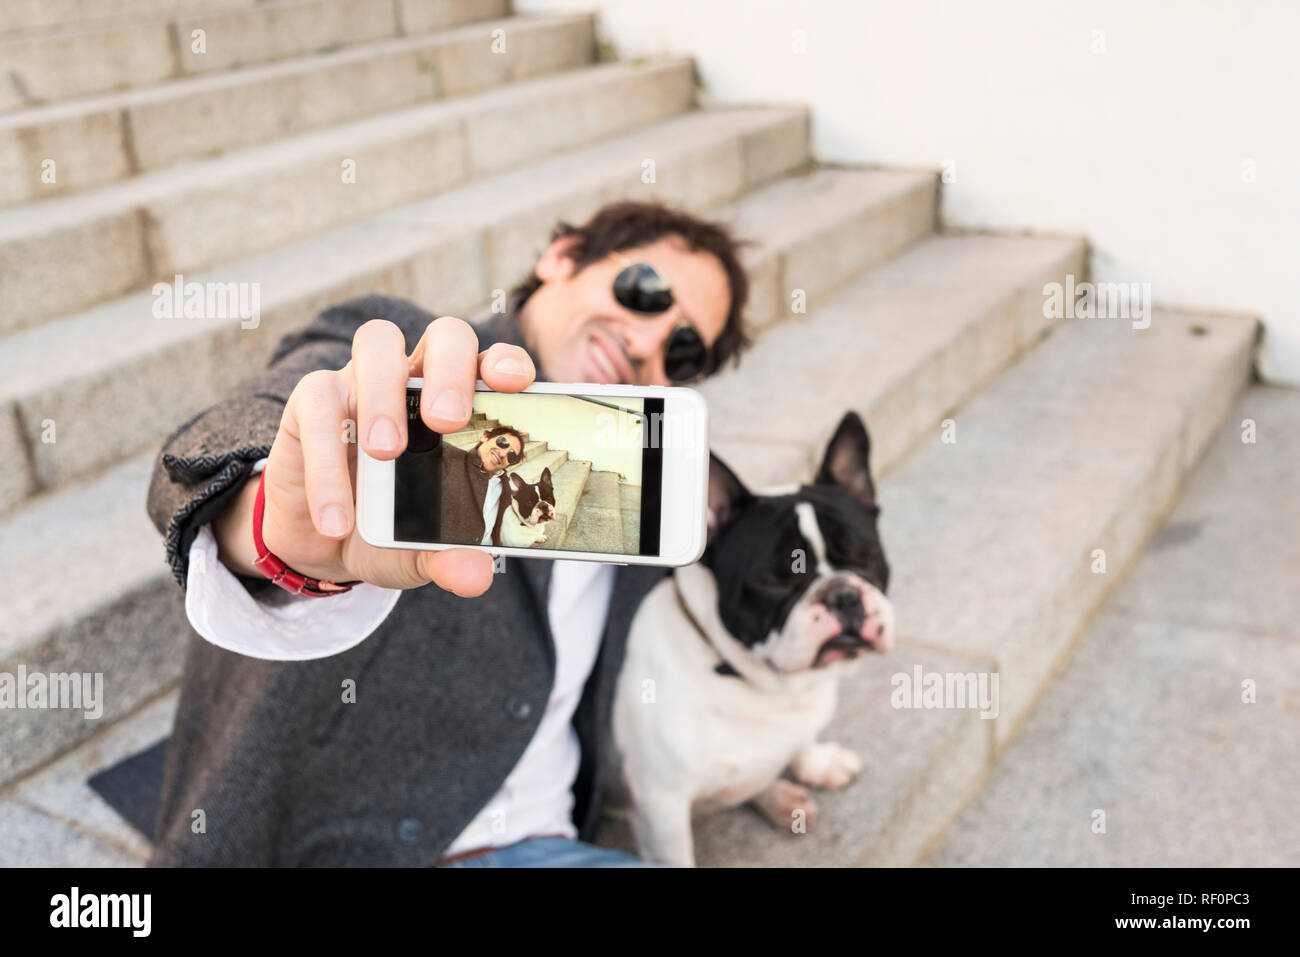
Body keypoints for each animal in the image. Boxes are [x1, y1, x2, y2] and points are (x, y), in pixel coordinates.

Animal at [608, 410, 894, 868]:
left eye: (866, 558)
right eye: (774, 582)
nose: (844, 596)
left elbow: (800, 739)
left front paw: (816, 760)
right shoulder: (660, 808)